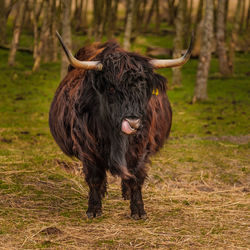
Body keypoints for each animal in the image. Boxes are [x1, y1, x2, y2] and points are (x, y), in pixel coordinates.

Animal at [49, 32, 193, 220]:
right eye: (111, 89)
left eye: (144, 89)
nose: (132, 122)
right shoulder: (87, 149)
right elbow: (95, 178)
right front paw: (93, 210)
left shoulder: (141, 149)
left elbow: (136, 178)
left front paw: (138, 211)